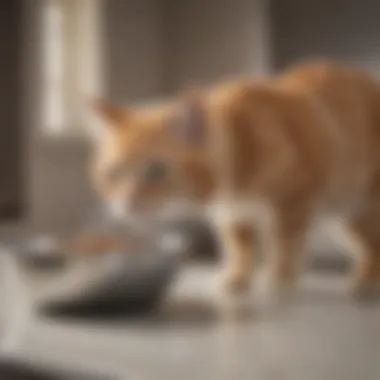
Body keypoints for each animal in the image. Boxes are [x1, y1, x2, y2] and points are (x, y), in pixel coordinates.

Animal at [90, 60, 380, 300]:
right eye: (113, 173)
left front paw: (278, 280)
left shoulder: (295, 203)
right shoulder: (232, 214)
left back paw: (365, 283)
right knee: (369, 246)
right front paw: (237, 279)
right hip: (348, 216)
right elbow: (240, 247)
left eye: (156, 170)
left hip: (364, 207)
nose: (126, 203)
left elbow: (284, 244)